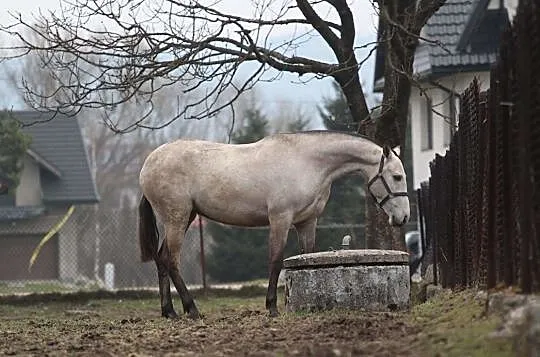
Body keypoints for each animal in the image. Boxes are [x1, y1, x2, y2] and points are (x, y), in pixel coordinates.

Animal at [138, 130, 410, 318]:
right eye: (397, 177)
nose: (403, 218)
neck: (308, 162)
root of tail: (148, 164)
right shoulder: (281, 219)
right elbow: (276, 260)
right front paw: (272, 307)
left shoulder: (307, 222)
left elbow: (307, 256)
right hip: (177, 217)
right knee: (172, 261)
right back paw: (191, 309)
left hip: (185, 218)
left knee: (162, 259)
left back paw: (169, 312)